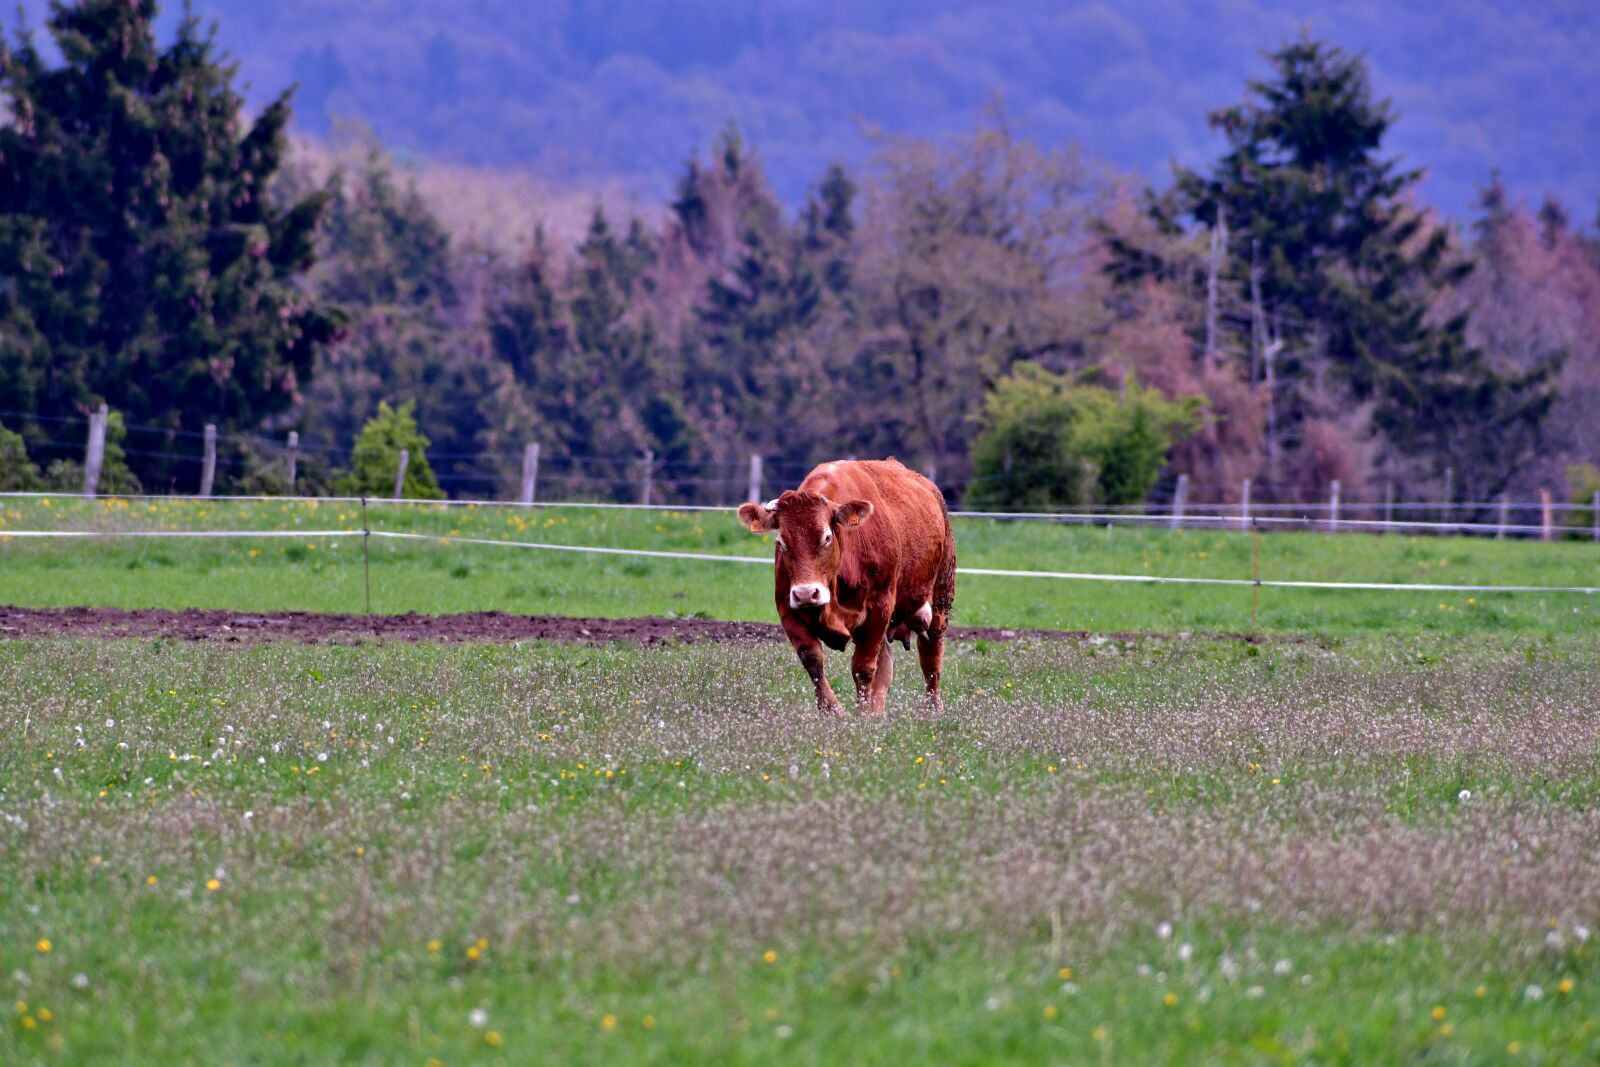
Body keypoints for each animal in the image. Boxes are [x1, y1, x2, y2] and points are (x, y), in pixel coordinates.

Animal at [737, 458, 955, 713]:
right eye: (781, 542)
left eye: (826, 537)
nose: (806, 594)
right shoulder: (787, 608)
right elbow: (812, 659)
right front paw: (833, 710)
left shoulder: (879, 607)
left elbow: (863, 668)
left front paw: (860, 714)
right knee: (886, 665)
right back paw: (877, 712)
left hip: (942, 594)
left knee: (931, 656)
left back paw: (933, 709)